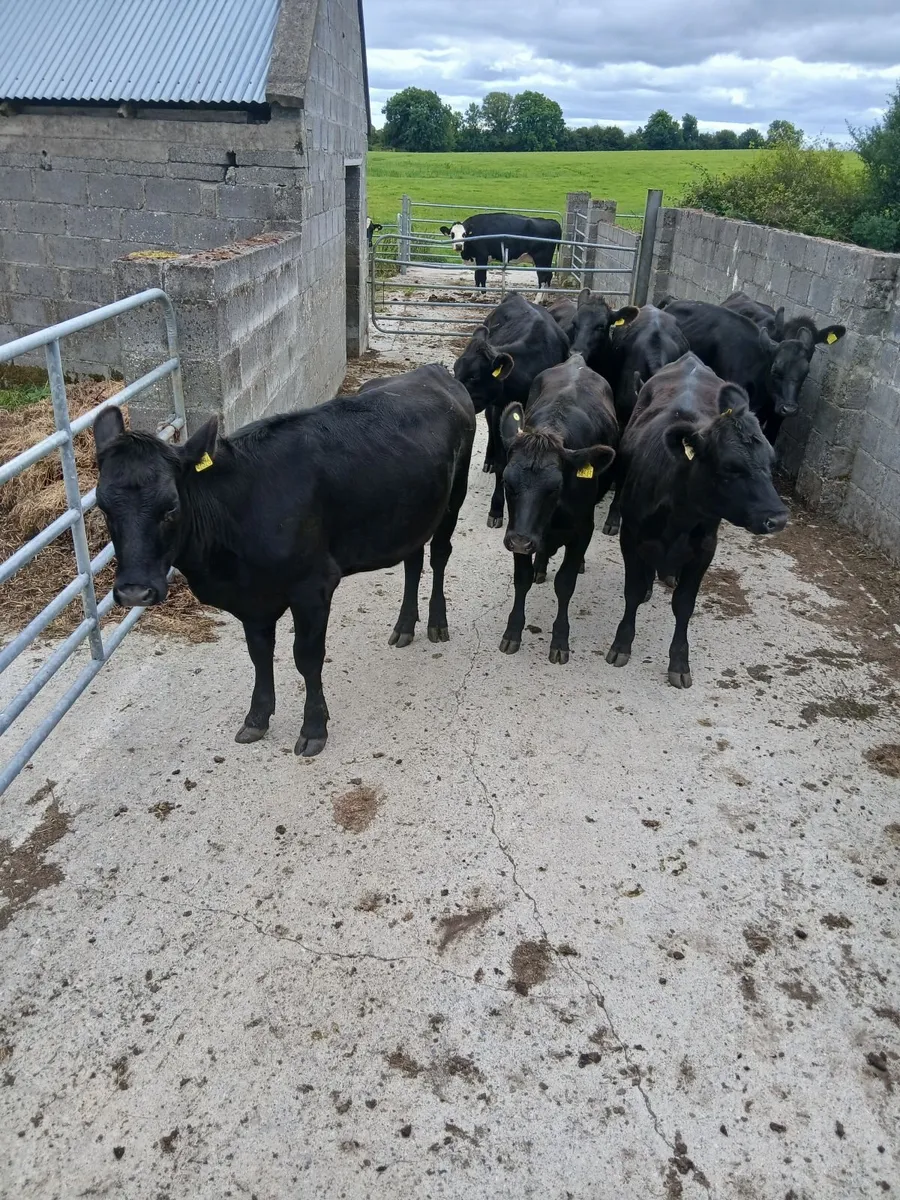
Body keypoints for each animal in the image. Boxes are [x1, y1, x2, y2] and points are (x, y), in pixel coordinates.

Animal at [92, 365, 475, 758]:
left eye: (170, 507)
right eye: (103, 507)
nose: (134, 591)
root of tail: (430, 371)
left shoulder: (314, 585)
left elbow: (306, 657)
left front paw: (314, 728)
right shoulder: (252, 599)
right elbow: (260, 654)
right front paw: (257, 719)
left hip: (453, 496)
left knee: (440, 555)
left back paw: (437, 622)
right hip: (414, 513)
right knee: (413, 560)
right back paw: (404, 626)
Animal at [453, 292, 569, 526]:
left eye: (473, 376)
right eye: (455, 368)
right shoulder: (500, 408)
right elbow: (501, 462)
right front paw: (497, 508)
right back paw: (488, 459)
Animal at [497, 354, 617, 663]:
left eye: (555, 487)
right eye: (506, 482)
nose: (522, 541)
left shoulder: (582, 530)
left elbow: (565, 583)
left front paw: (560, 639)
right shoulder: (516, 529)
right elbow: (522, 579)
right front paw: (512, 632)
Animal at [605, 352, 788, 688]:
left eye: (771, 461)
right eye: (730, 467)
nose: (778, 518)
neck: (679, 515)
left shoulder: (704, 549)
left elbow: (684, 604)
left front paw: (679, 661)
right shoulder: (632, 537)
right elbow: (633, 592)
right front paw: (621, 644)